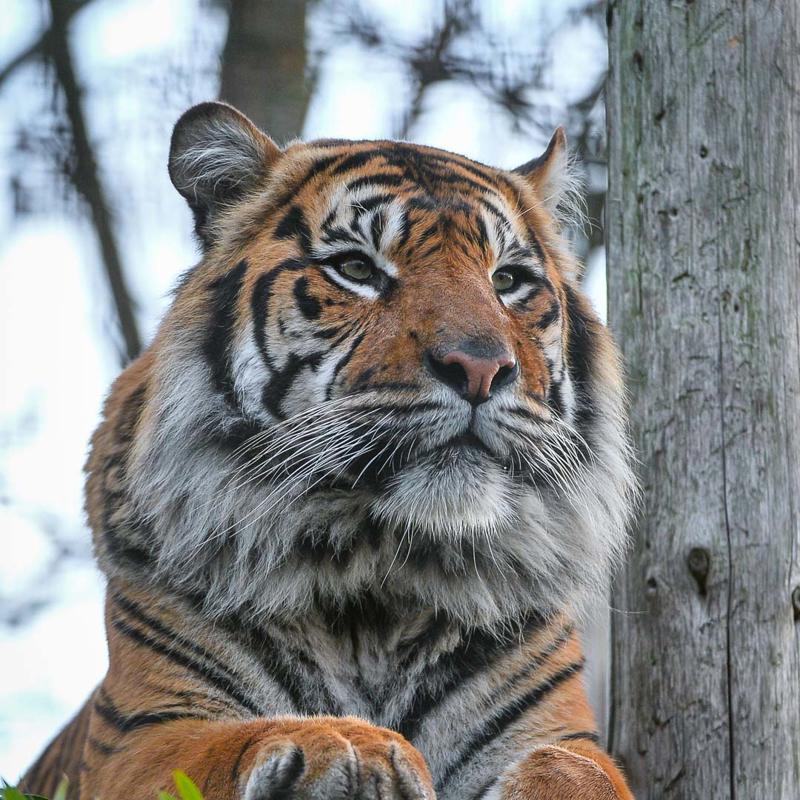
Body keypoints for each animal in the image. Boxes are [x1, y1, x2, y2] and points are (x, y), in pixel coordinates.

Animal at [21, 101, 636, 800]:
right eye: (357, 269)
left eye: (508, 280)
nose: (481, 368)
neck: (379, 585)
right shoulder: (139, 737)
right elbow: (222, 741)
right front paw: (346, 742)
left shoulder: (560, 730)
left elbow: (577, 769)